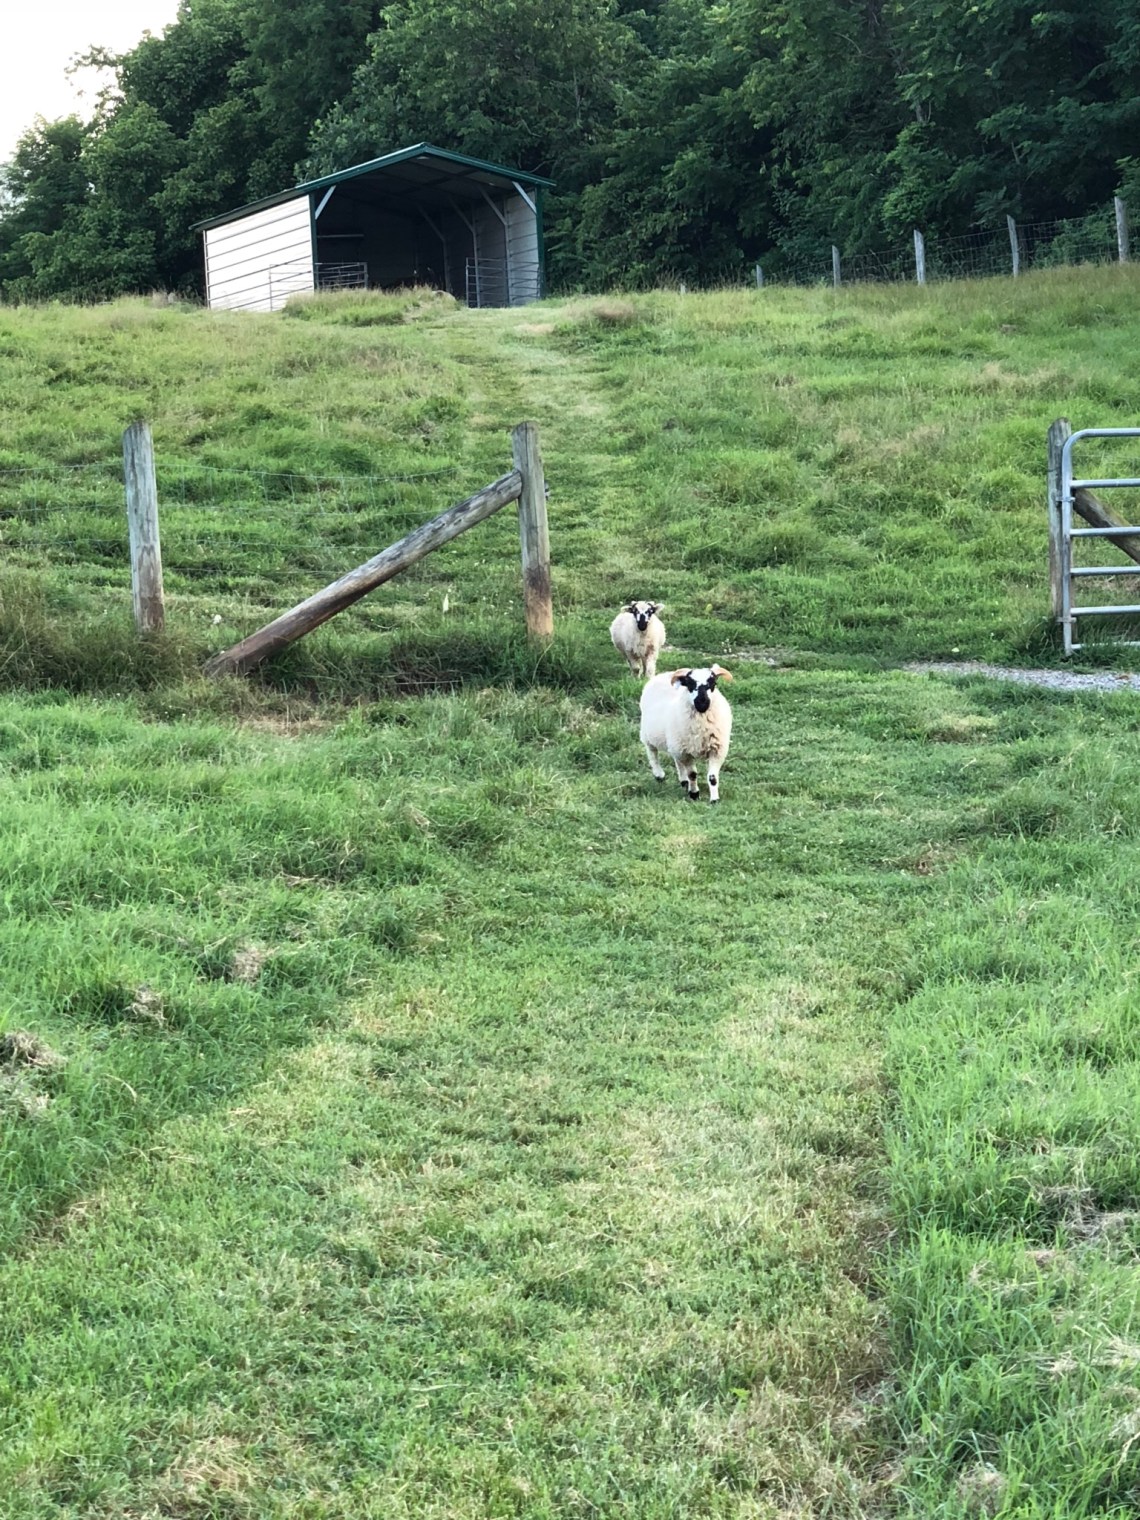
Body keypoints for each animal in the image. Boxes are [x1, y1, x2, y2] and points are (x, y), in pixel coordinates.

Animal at [639, 665, 734, 803]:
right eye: (690, 683)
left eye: (713, 682)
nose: (702, 702)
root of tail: (664, 674)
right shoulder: (687, 753)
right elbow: (692, 775)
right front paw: (694, 794)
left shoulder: (717, 750)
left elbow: (712, 777)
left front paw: (714, 799)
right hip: (649, 735)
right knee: (652, 754)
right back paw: (659, 775)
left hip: (675, 743)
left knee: (677, 761)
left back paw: (683, 781)